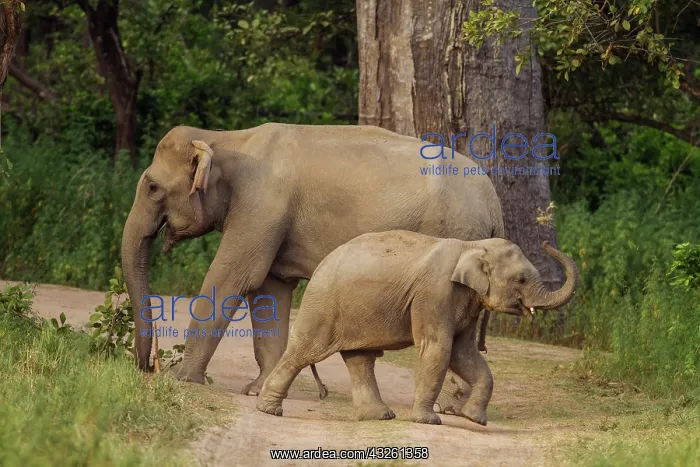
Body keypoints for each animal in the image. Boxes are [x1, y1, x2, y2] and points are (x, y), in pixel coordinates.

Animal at [121, 122, 505, 407]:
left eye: (152, 187)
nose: (146, 367)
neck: (226, 138)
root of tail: (493, 200)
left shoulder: (260, 207)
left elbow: (233, 277)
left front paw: (183, 379)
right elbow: (269, 290)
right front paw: (257, 389)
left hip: (454, 233)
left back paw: (447, 405)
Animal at [256, 231, 579, 426]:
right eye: (521, 280)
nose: (546, 243)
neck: (473, 246)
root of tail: (320, 267)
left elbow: (463, 353)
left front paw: (475, 419)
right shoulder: (434, 293)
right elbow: (438, 348)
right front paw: (429, 421)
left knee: (360, 359)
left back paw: (379, 416)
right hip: (323, 304)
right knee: (304, 352)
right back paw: (268, 410)